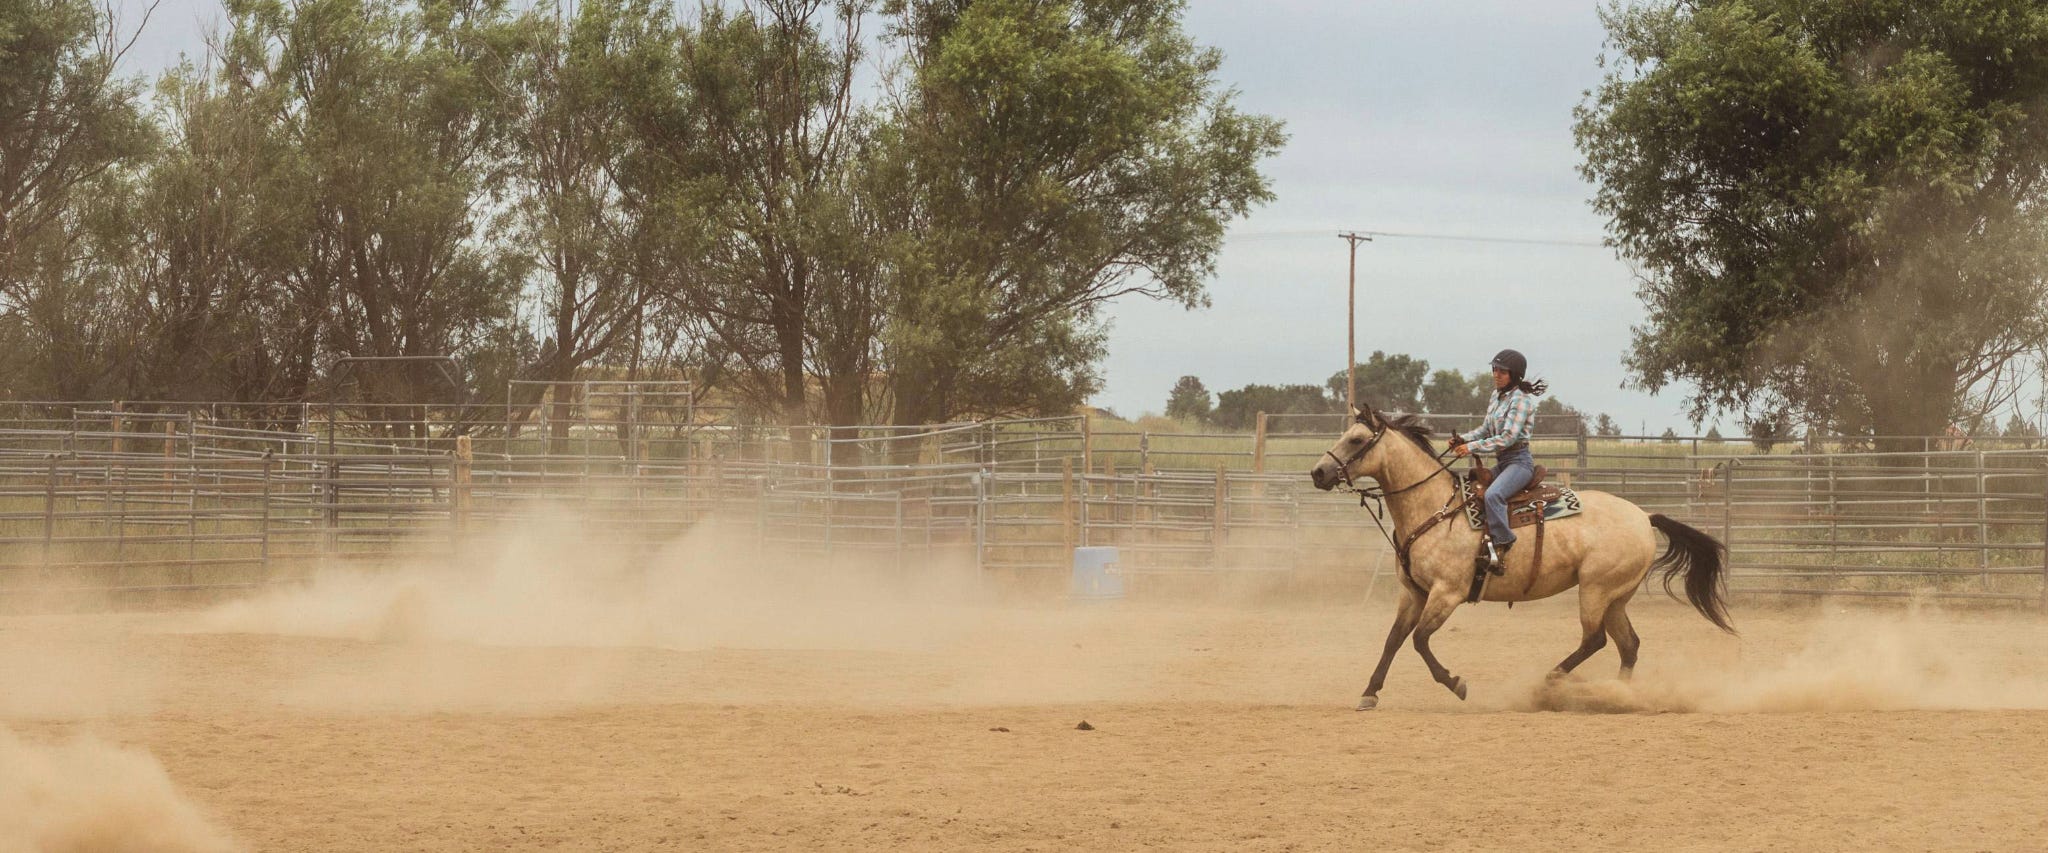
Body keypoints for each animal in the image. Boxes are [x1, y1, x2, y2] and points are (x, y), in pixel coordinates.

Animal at [1308, 404, 1734, 710]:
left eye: (1356, 439)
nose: (1318, 472)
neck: (1435, 508)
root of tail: (1644, 516)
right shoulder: (1413, 593)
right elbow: (1393, 640)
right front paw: (1369, 692)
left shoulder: (1447, 593)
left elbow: (1420, 640)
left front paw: (1457, 683)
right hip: (1616, 596)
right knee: (1628, 645)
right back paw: (1616, 695)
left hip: (1596, 589)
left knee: (1594, 639)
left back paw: (1551, 682)